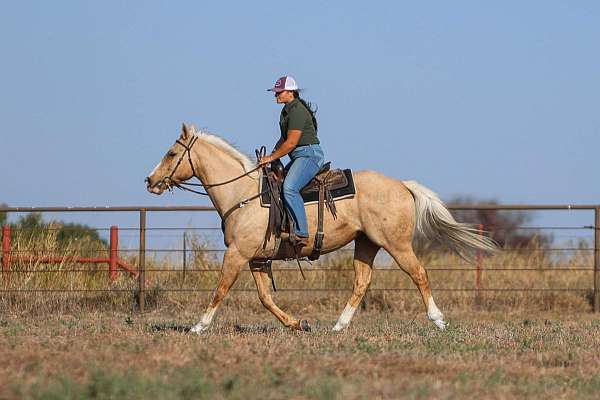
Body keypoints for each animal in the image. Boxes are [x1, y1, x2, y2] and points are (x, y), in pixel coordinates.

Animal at [145, 123, 496, 332]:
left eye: (172, 153)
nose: (150, 181)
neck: (243, 193)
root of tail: (402, 185)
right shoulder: (257, 258)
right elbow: (265, 298)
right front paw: (297, 324)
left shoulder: (237, 254)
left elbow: (220, 289)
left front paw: (198, 326)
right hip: (366, 244)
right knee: (361, 282)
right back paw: (339, 326)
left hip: (396, 244)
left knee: (419, 274)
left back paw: (438, 320)